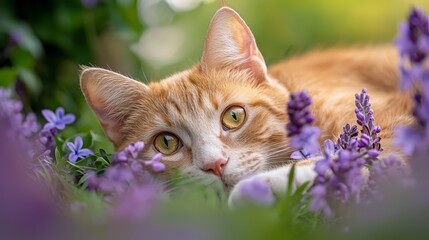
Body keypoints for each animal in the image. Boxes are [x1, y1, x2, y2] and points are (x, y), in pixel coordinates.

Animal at [78, 6, 412, 204]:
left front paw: (254, 189)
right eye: (167, 143)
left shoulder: (395, 134)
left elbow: (354, 158)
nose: (214, 165)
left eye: (234, 116)